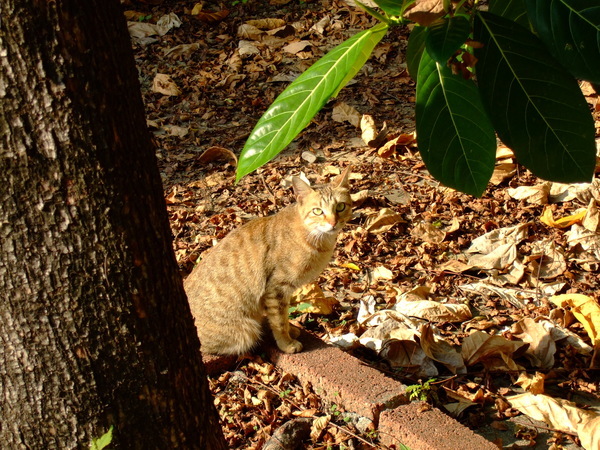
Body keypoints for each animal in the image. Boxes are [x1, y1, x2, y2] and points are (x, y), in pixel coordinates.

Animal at [183, 166, 352, 356]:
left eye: (340, 206)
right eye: (317, 211)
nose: (333, 223)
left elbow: (283, 316)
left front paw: (291, 330)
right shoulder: (276, 288)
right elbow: (279, 321)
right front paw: (286, 343)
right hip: (245, 331)